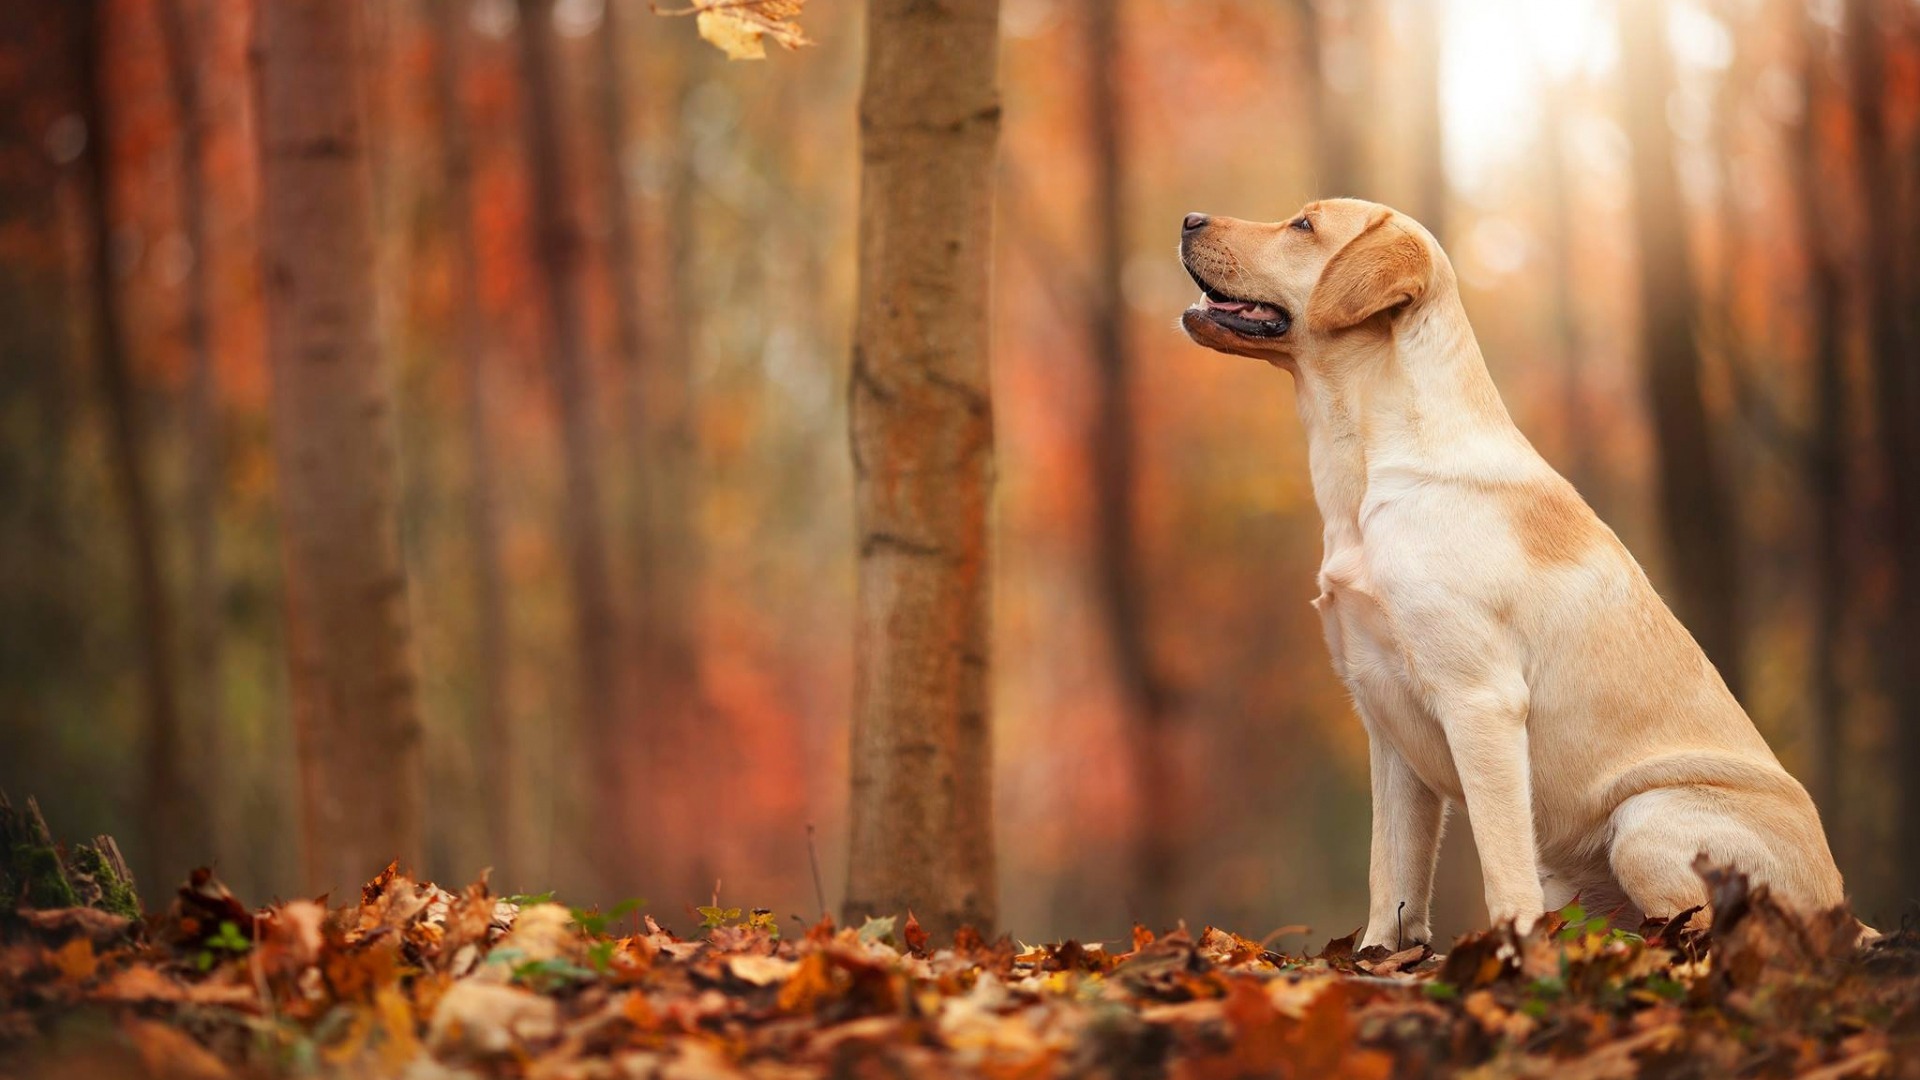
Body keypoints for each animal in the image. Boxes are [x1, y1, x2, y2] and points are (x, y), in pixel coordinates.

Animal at [1175, 195, 1850, 941]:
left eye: (1303, 225)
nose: (1189, 219)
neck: (1368, 472)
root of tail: (1846, 912)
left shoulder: (1480, 701)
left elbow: (1500, 866)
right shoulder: (1384, 719)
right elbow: (1392, 872)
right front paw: (1379, 953)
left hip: (1647, 820)